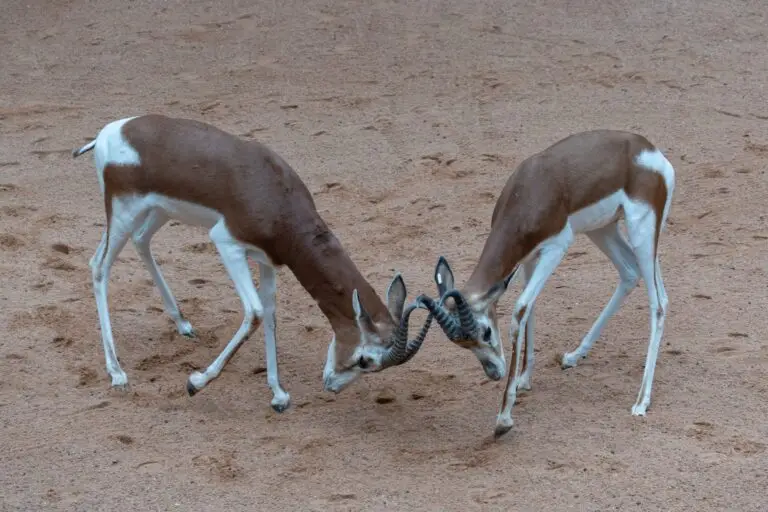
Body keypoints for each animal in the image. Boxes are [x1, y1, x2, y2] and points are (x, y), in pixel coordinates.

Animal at [71, 114, 432, 412]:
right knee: (99, 266)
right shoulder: (227, 244)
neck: (276, 197)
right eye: (365, 360)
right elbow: (256, 312)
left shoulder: (268, 259)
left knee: (140, 241)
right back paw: (117, 372)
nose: (331, 386)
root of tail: (108, 132)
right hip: (124, 213)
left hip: (157, 211)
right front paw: (196, 382)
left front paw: (278, 394)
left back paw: (183, 323)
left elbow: (270, 313)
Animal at [416, 130, 675, 437]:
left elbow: (520, 308)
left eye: (487, 332)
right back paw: (573, 356)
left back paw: (641, 401)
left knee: (658, 303)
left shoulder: (556, 248)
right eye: (463, 345)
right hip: (604, 229)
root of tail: (649, 150)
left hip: (641, 230)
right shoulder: (528, 257)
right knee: (630, 272)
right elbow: (531, 307)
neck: (531, 191)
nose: (494, 373)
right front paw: (524, 379)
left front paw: (504, 418)